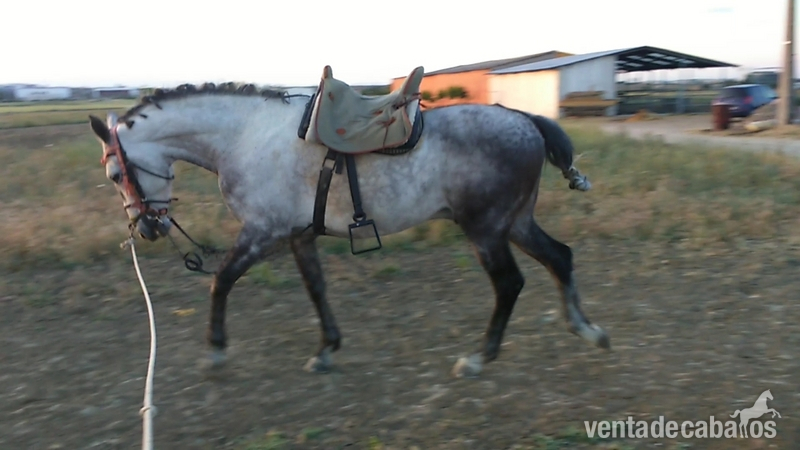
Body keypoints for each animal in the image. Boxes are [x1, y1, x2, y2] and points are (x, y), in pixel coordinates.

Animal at [88, 80, 610, 378]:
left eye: (114, 174)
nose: (146, 228)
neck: (244, 136)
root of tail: (524, 120)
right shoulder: (298, 236)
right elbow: (316, 289)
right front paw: (327, 349)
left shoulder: (263, 233)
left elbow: (221, 281)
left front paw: (216, 351)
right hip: (515, 222)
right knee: (560, 257)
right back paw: (587, 329)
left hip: (485, 229)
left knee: (509, 284)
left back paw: (481, 357)